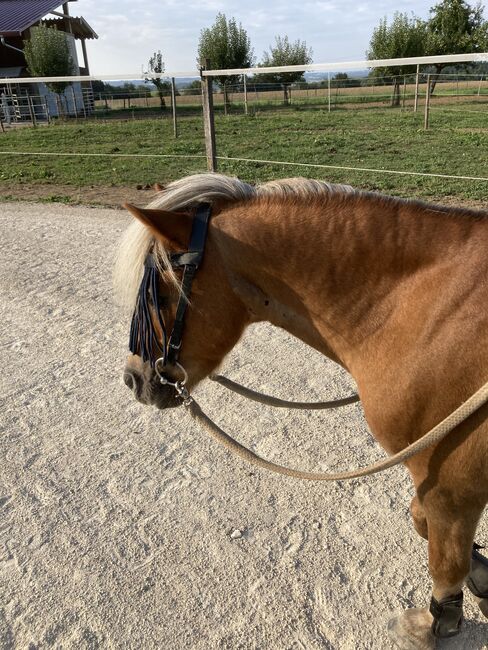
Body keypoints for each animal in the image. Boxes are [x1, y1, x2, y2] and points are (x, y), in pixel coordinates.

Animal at [114, 171, 488, 644]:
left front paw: (437, 621)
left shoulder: (451, 486)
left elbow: (445, 561)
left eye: (160, 292)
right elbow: (423, 522)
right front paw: (482, 573)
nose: (133, 378)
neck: (425, 309)